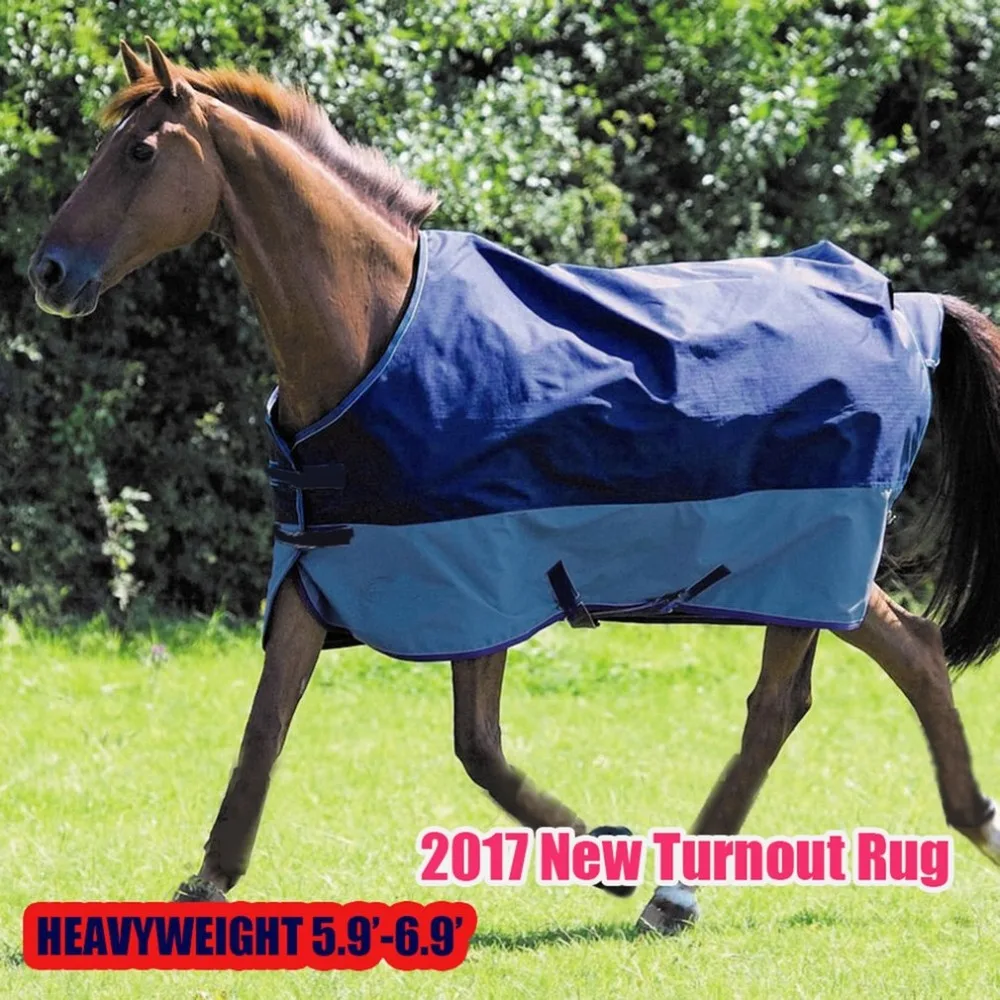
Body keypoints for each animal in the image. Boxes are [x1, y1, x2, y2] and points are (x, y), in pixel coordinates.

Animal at [28, 38, 1000, 935]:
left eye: (139, 153)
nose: (48, 272)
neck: (374, 334)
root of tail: (907, 310)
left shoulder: (480, 578)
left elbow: (478, 750)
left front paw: (608, 859)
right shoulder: (321, 570)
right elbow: (267, 725)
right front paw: (210, 879)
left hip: (803, 562)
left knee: (776, 709)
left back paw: (672, 895)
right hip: (815, 573)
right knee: (909, 655)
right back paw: (975, 823)